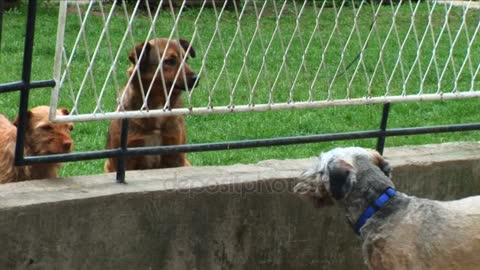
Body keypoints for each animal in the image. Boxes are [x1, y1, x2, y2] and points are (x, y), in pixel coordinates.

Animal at [105, 38, 199, 171]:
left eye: (186, 59)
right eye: (169, 61)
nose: (196, 78)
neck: (158, 104)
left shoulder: (175, 154)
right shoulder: (125, 159)